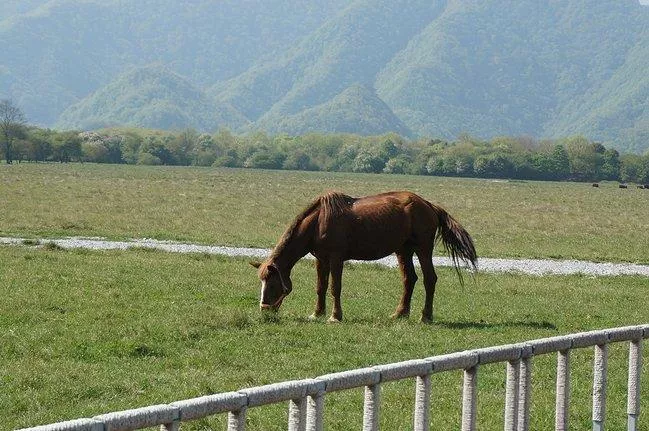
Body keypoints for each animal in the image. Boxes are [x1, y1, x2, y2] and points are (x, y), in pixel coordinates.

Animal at [252, 191, 476, 322]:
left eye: (272, 283)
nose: (264, 310)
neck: (318, 222)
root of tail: (429, 205)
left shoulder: (336, 259)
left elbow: (334, 288)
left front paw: (335, 316)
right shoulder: (321, 259)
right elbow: (320, 287)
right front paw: (317, 313)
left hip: (422, 249)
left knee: (429, 279)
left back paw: (426, 316)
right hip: (403, 250)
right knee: (409, 279)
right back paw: (400, 313)